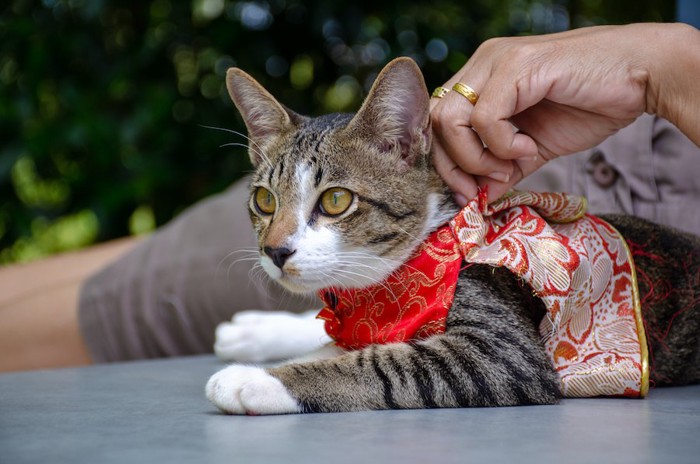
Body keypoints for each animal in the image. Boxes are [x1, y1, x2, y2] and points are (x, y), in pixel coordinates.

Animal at [205, 56, 700, 416]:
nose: (275, 251)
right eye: (264, 200)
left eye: (335, 200)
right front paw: (263, 337)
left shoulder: (502, 350)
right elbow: (346, 337)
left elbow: (384, 362)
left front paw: (256, 379)